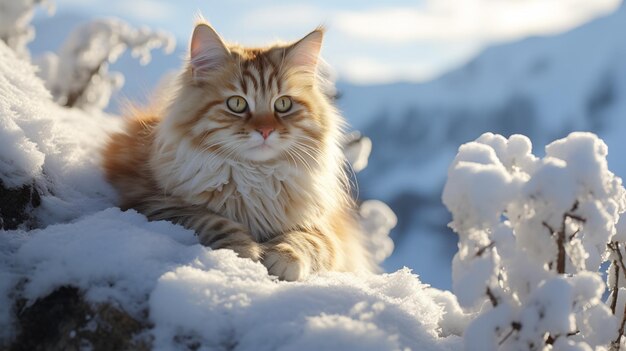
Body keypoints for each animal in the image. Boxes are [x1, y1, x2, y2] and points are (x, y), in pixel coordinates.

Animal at [102, 21, 370, 280]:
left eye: (283, 104)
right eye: (237, 104)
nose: (265, 130)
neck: (255, 176)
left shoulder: (325, 230)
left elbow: (305, 240)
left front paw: (283, 257)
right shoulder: (157, 204)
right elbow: (214, 221)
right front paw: (243, 253)